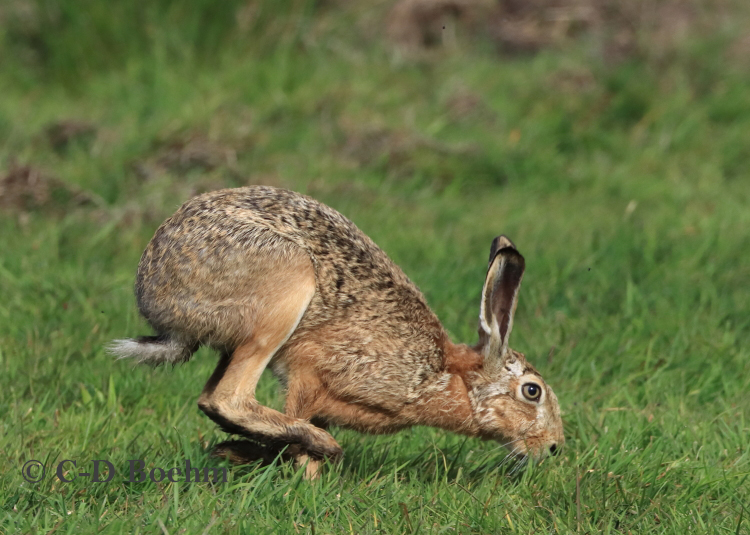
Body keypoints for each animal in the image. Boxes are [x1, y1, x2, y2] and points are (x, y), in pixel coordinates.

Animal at [110, 185, 564, 478]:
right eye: (532, 391)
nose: (554, 447)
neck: (446, 375)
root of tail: (154, 292)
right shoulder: (312, 371)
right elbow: (295, 423)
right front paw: (308, 478)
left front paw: (245, 454)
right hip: (283, 295)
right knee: (229, 398)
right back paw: (316, 446)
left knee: (211, 397)